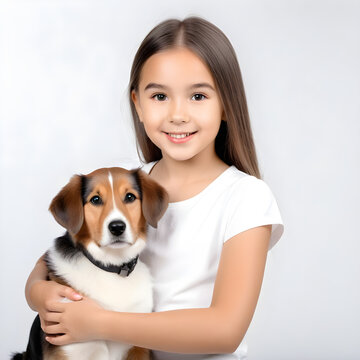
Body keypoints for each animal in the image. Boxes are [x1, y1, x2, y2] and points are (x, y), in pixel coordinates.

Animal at [11, 168, 169, 360]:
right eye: (95, 199)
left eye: (130, 197)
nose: (117, 227)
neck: (111, 267)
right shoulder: (70, 351)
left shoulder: (138, 349)